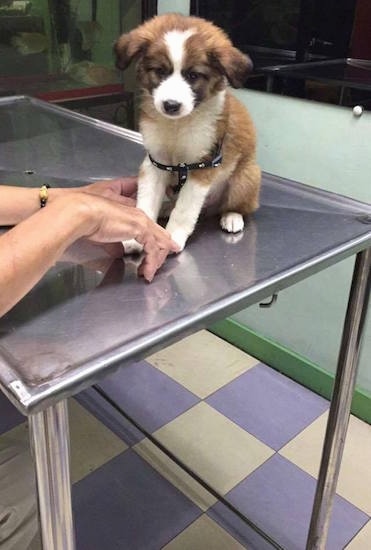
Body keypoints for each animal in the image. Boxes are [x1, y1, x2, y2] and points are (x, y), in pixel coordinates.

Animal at [114, 12, 262, 253]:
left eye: (193, 75)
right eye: (160, 71)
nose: (171, 105)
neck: (178, 125)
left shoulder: (202, 167)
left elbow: (184, 209)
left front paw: (173, 236)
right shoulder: (156, 162)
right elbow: (146, 201)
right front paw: (137, 233)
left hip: (246, 177)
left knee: (237, 206)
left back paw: (232, 217)